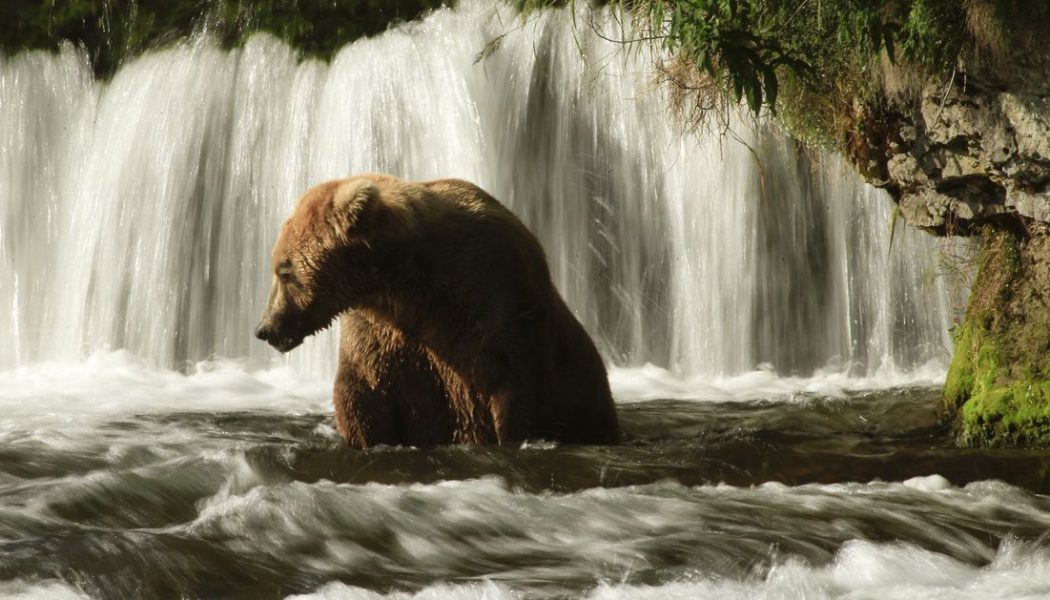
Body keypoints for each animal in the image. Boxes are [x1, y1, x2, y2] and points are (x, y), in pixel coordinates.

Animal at [254, 174, 619, 447]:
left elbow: (520, 396)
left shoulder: (498, 302)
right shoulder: (382, 334)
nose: (264, 329)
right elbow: (362, 393)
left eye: (284, 270)